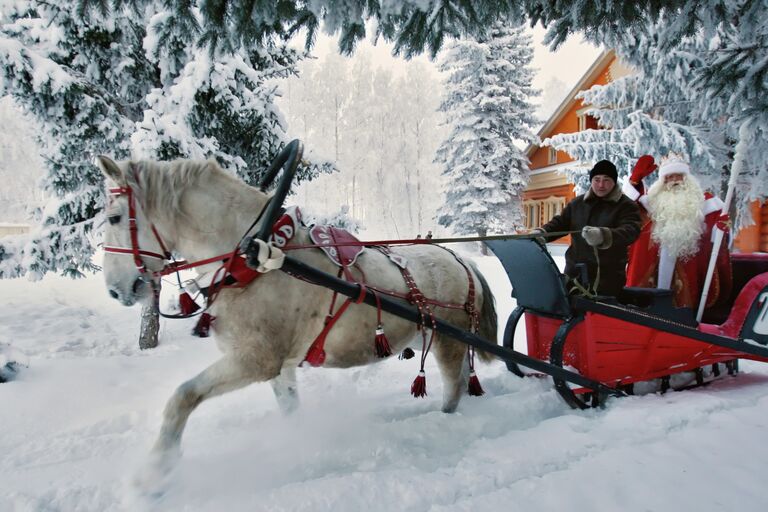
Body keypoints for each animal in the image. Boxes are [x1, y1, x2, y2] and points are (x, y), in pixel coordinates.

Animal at [96, 155, 496, 468]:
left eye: (114, 218)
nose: (114, 290)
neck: (254, 260)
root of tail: (462, 260)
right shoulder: (280, 366)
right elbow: (289, 408)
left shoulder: (256, 360)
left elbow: (182, 397)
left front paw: (154, 475)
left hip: (448, 342)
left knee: (454, 387)